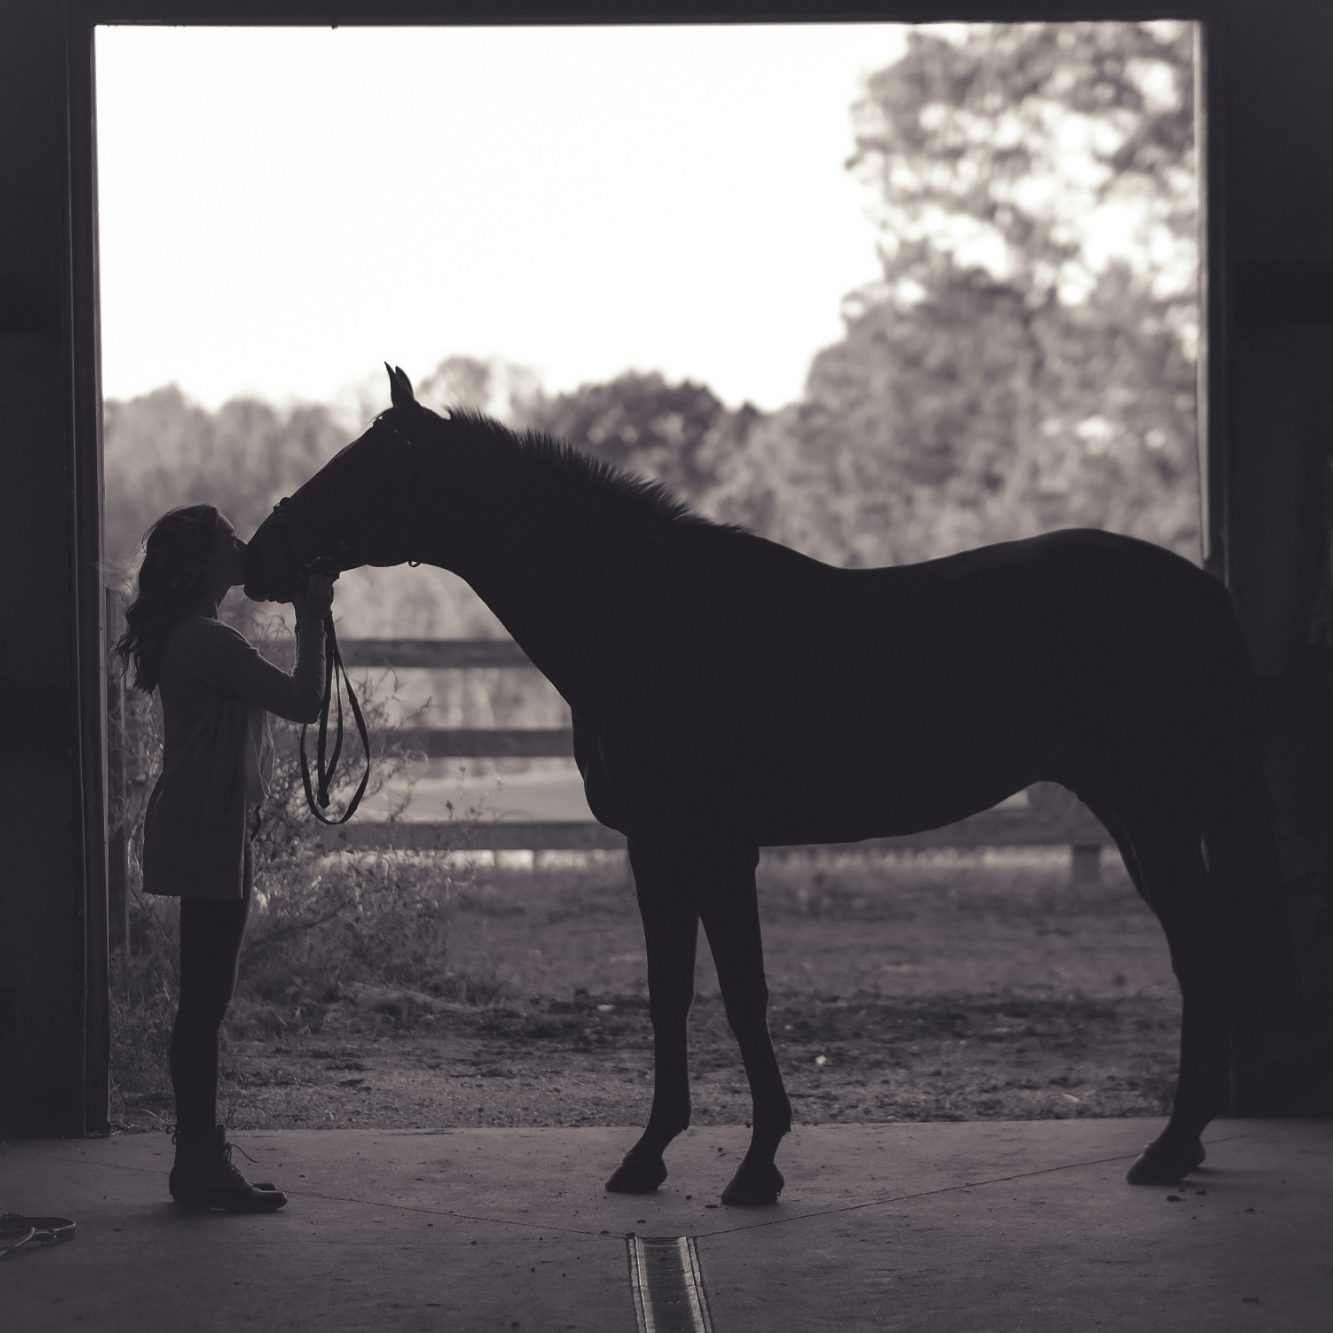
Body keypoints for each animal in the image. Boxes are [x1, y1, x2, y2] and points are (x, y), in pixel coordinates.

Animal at [245, 367, 1285, 1210]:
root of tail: (1198, 587)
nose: (261, 556)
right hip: (1136, 812)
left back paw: (1167, 1148)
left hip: (1152, 808)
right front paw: (648, 1156)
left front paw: (756, 1165)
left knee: (1202, 951)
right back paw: (1180, 1145)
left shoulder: (717, 846)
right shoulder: (654, 847)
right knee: (1199, 950)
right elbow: (668, 993)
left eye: (365, 468)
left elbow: (743, 993)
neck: (650, 618)